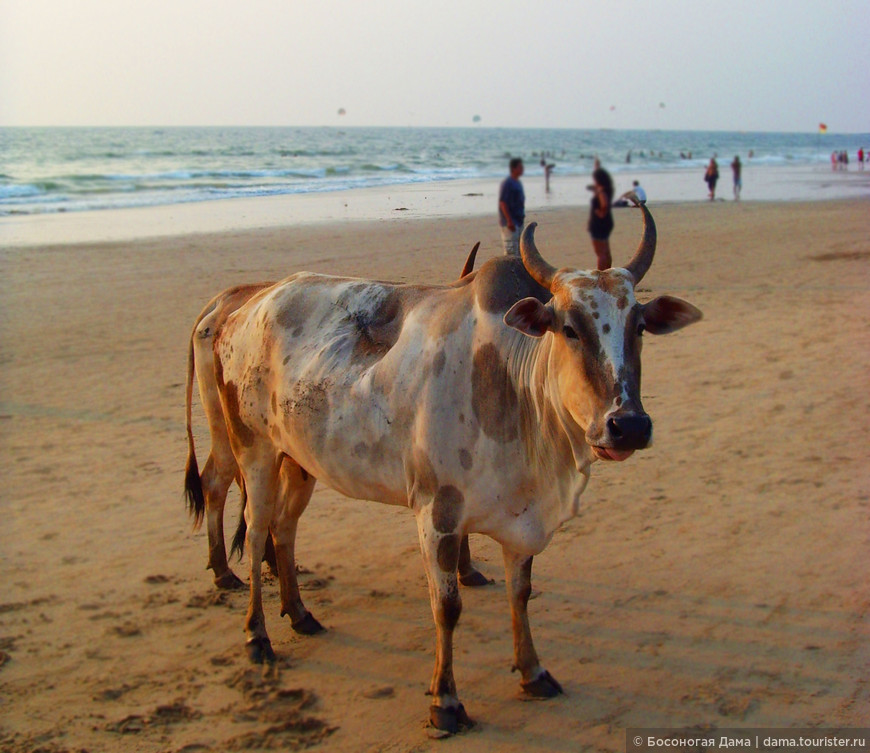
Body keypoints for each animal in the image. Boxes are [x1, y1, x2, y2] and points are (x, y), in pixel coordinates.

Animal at [182, 203, 700, 732]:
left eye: (639, 327)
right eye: (570, 329)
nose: (628, 425)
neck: (513, 388)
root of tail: (242, 306)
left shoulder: (522, 516)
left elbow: (521, 593)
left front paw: (533, 672)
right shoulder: (437, 514)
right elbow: (447, 608)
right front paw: (446, 701)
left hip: (300, 461)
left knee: (283, 528)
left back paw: (300, 613)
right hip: (253, 451)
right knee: (254, 526)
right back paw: (257, 633)